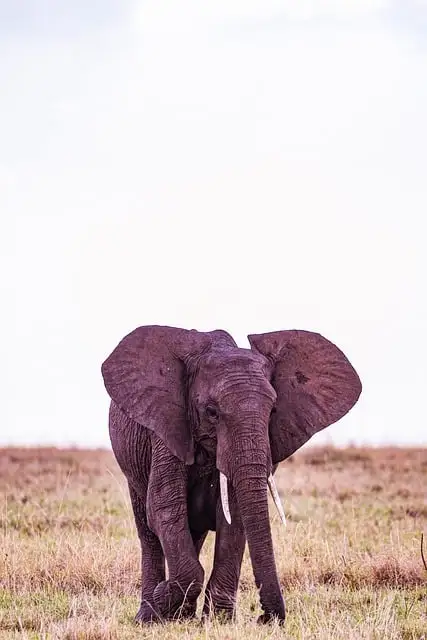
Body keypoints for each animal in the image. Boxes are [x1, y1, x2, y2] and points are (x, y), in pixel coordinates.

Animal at [102, 324, 362, 624]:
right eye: (211, 412)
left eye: (273, 410)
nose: (265, 618)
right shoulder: (167, 429)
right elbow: (163, 508)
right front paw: (163, 597)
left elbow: (234, 518)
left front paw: (217, 621)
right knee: (148, 532)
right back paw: (150, 616)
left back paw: (182, 616)